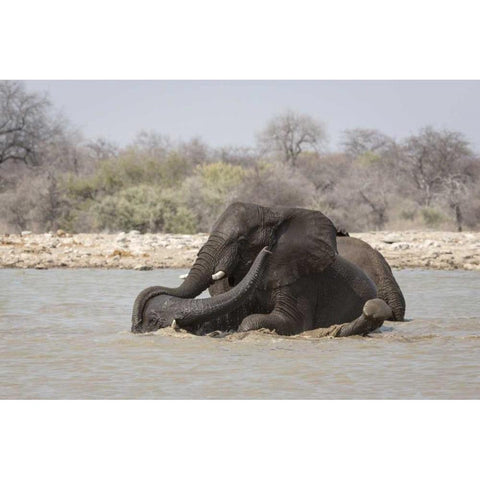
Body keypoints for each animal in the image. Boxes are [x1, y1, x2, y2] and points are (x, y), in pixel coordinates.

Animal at [129, 202, 404, 338]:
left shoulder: (301, 279)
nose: (138, 324)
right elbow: (234, 312)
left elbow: (278, 321)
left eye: (241, 240)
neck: (276, 214)